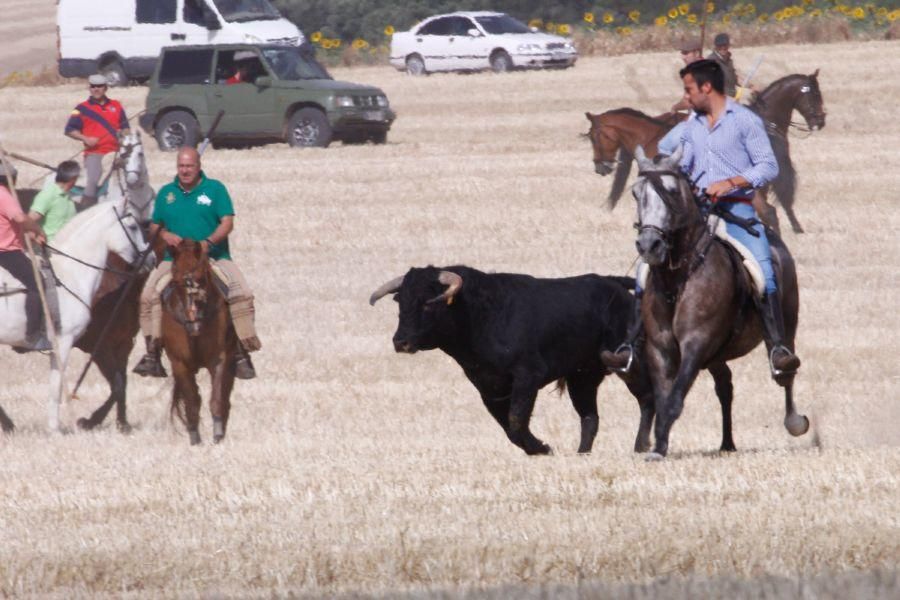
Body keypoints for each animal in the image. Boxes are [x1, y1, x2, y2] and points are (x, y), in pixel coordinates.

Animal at [0, 200, 149, 432]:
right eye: (133, 226)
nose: (150, 257)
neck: (70, 274)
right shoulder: (64, 343)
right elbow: (56, 387)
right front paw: (55, 429)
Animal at [163, 240, 236, 446]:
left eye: (202, 279)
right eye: (176, 282)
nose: (193, 325)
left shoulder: (219, 359)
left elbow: (217, 399)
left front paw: (218, 436)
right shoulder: (180, 364)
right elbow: (192, 402)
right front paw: (195, 439)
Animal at [368, 264, 652, 458]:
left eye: (428, 303)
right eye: (400, 301)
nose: (400, 342)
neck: (481, 316)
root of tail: (615, 286)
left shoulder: (528, 375)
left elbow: (516, 420)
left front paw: (543, 447)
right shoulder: (488, 386)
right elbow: (508, 426)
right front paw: (539, 448)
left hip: (626, 361)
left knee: (646, 397)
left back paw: (641, 446)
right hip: (582, 377)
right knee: (590, 416)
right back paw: (582, 454)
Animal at [628, 149, 812, 460]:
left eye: (672, 191)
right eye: (635, 192)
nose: (649, 245)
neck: (678, 279)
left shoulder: (697, 343)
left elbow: (675, 397)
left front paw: (658, 447)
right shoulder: (660, 349)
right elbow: (664, 398)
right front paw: (659, 446)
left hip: (786, 328)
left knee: (786, 373)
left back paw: (795, 422)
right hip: (717, 355)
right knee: (725, 387)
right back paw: (727, 443)